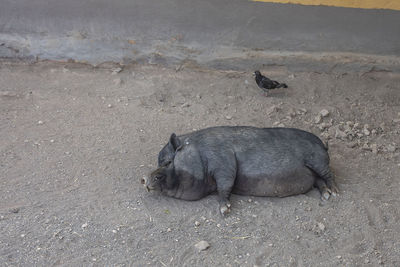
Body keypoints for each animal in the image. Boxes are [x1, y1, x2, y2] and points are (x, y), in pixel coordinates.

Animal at [142, 126, 340, 217]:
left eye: (168, 162)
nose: (144, 178)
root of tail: (323, 144)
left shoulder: (224, 160)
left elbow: (225, 184)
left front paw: (225, 210)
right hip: (312, 172)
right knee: (318, 181)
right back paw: (326, 195)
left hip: (318, 159)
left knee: (328, 175)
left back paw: (335, 193)